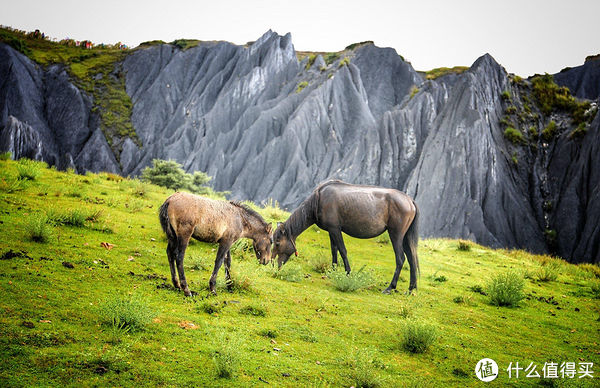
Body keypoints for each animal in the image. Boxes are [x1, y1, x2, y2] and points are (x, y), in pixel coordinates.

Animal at [274, 180, 420, 292]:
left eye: (277, 243)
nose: (275, 265)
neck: (319, 198)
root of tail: (409, 200)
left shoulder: (335, 229)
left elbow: (342, 251)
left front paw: (348, 273)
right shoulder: (331, 231)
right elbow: (334, 251)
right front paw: (332, 272)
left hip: (396, 235)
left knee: (400, 259)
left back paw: (390, 287)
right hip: (405, 237)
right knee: (411, 259)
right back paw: (411, 288)